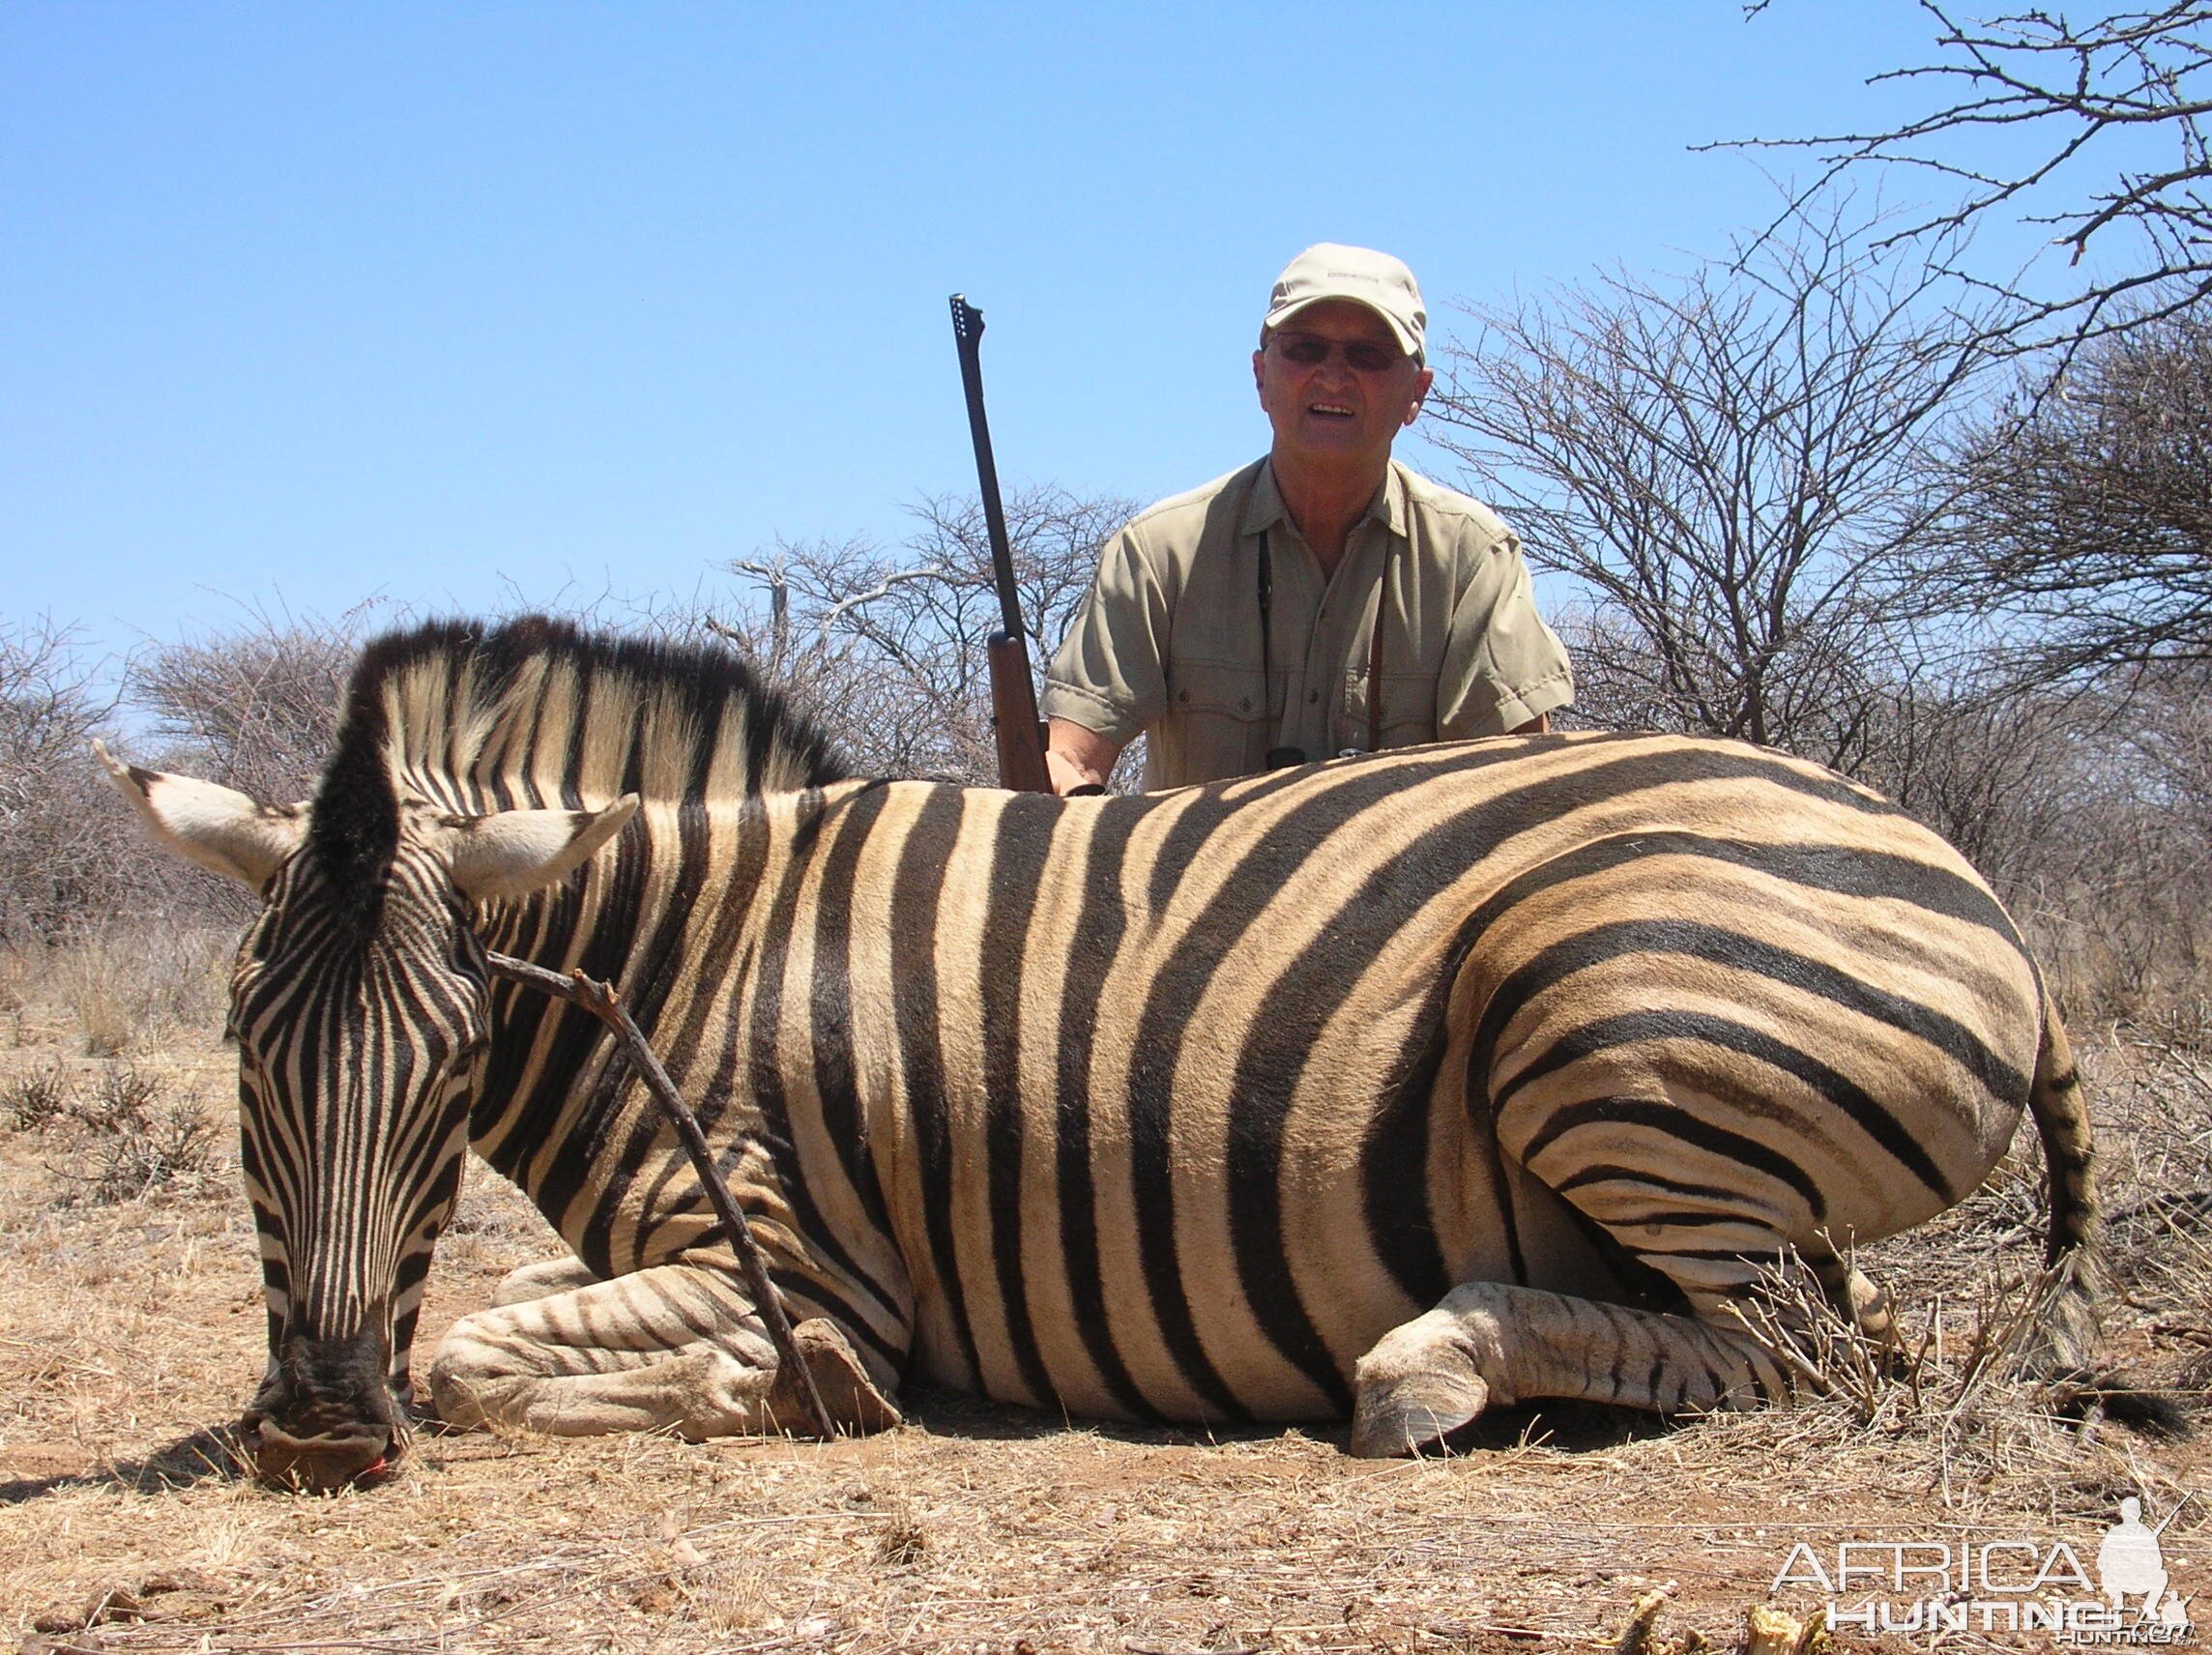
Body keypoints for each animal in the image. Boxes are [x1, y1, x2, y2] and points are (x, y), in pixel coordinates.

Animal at [103, 615, 2097, 1495]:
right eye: (242, 1056)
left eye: (453, 1058)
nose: (313, 1427)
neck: (688, 954)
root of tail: (1972, 887)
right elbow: (491, 1321)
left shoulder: (796, 1259)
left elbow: (485, 1358)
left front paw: (793, 1393)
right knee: (1854, 1330)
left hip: (1592, 1028)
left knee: (1800, 1361)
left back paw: (1432, 1367)